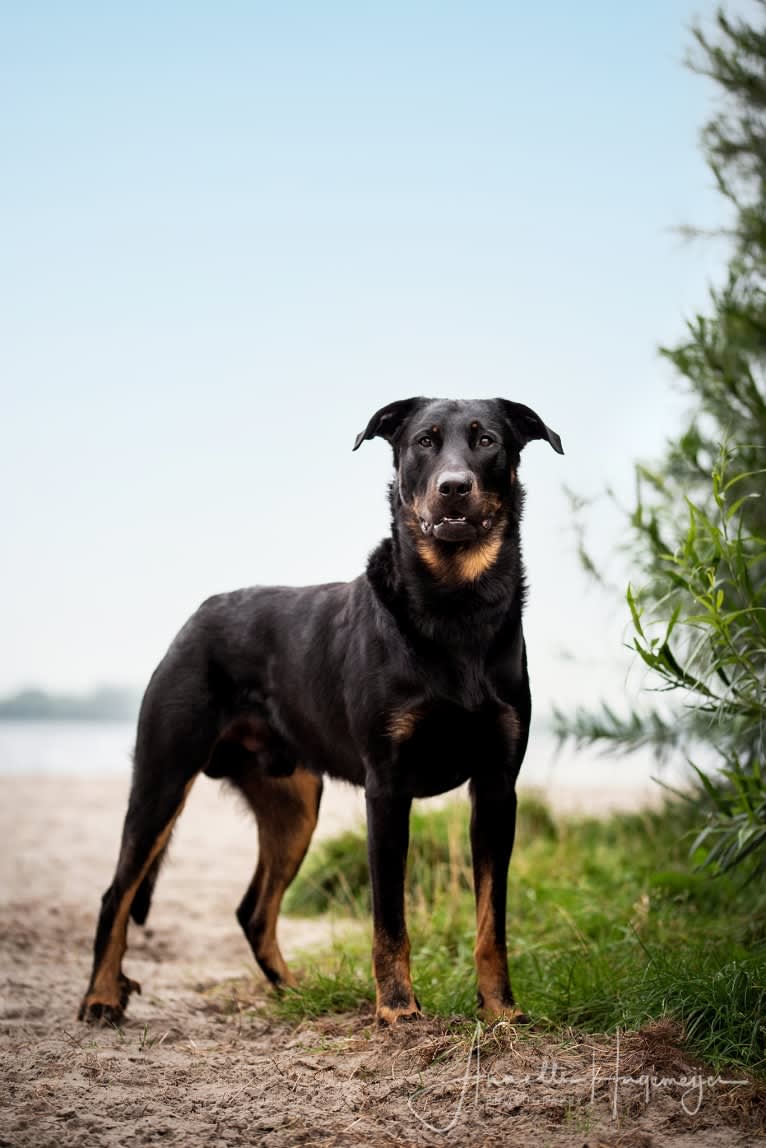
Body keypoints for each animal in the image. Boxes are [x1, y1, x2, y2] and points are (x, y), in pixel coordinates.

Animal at [79, 399, 562, 1028]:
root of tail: (199, 615)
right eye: (425, 441)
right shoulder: (387, 787)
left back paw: (293, 989)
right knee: (118, 894)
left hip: (294, 806)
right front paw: (398, 1009)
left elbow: (491, 923)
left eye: (487, 442)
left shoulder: (498, 787)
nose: (454, 487)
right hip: (163, 777)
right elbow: (389, 921)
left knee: (252, 910)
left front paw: (501, 1009)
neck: (456, 607)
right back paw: (101, 996)